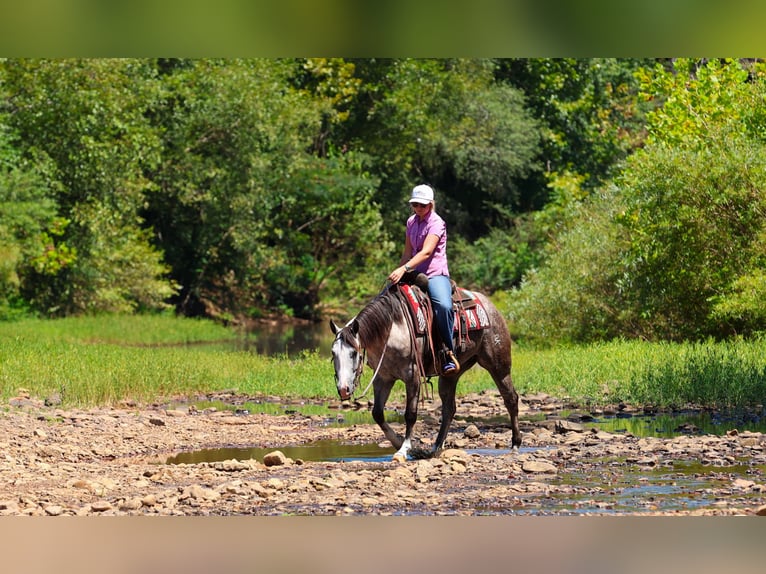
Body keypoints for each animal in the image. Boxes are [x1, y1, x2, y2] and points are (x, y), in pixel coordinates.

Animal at [330, 281, 522, 462]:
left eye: (354, 353)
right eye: (333, 353)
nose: (343, 389)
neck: (392, 330)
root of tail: (489, 305)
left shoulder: (412, 376)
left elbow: (410, 414)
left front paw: (403, 450)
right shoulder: (383, 378)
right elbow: (377, 413)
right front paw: (406, 446)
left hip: (498, 365)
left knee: (510, 398)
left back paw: (515, 444)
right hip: (450, 374)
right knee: (449, 409)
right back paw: (435, 448)